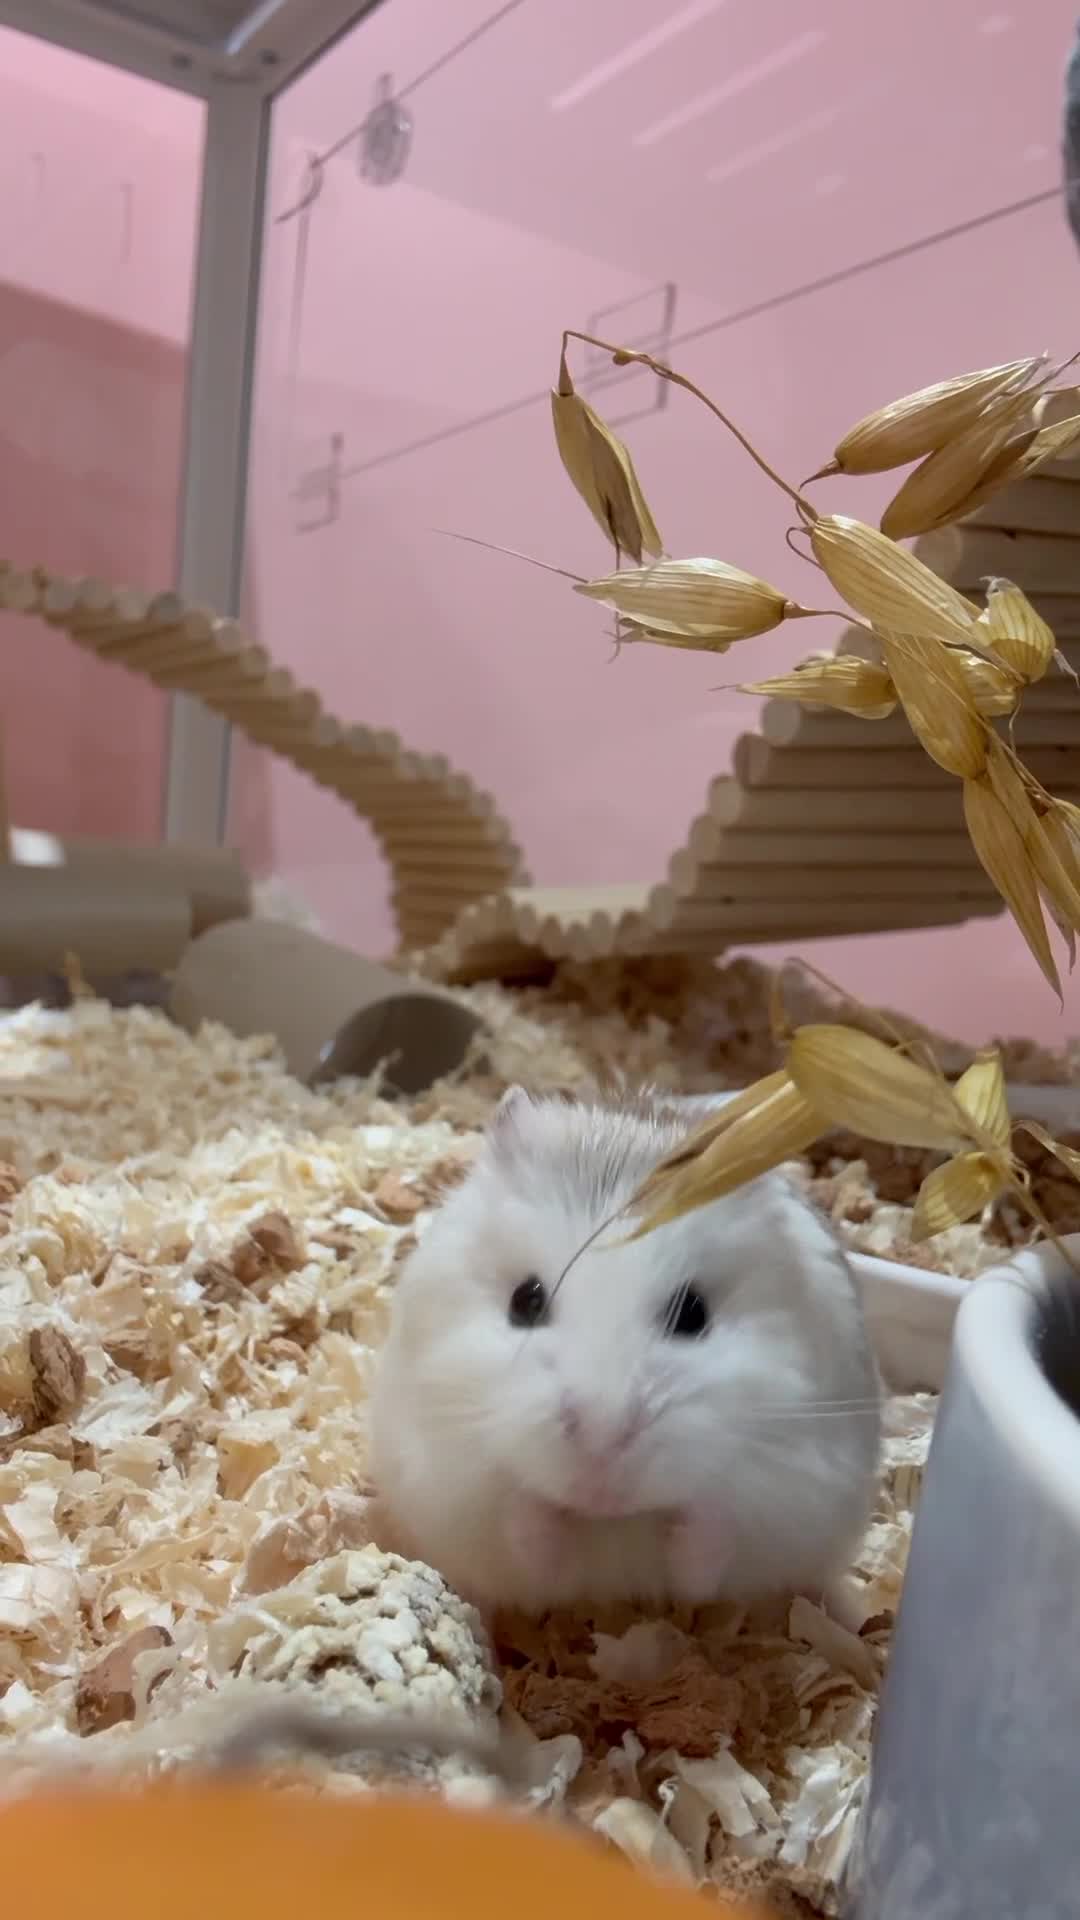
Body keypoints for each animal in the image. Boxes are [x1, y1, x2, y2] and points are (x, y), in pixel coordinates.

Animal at [369, 1088, 881, 1614]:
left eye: (693, 1313)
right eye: (524, 1301)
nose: (600, 1455)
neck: (613, 1519)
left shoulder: (789, 1498)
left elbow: (710, 1546)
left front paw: (695, 1513)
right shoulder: (455, 1496)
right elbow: (524, 1530)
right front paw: (538, 1505)